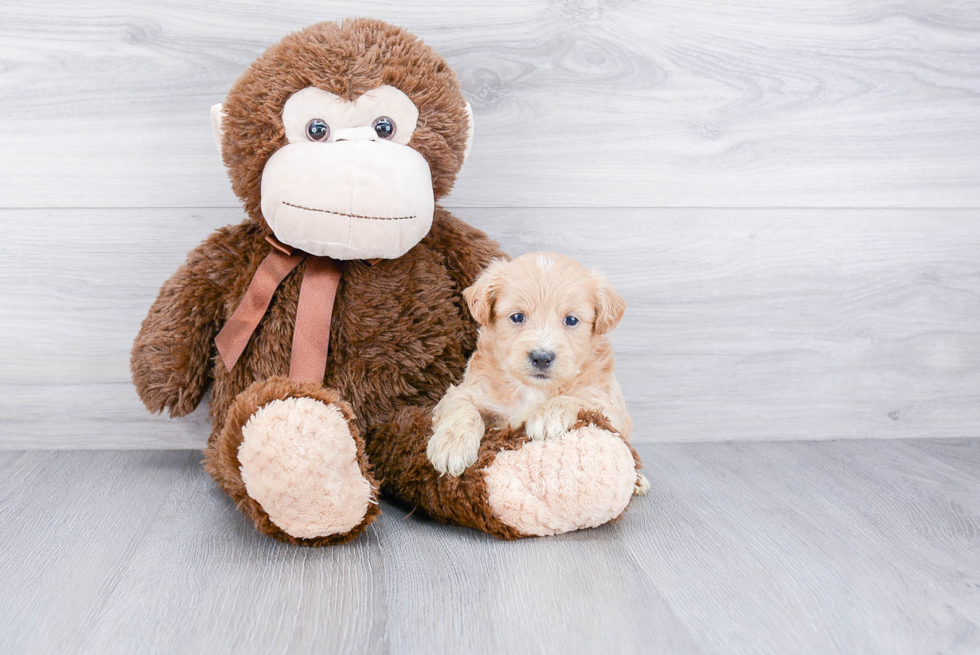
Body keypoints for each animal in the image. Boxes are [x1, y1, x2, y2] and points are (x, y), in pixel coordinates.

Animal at [424, 254, 648, 494]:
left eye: (571, 320)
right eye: (517, 317)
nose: (541, 357)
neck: (533, 389)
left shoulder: (608, 405)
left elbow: (578, 399)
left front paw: (548, 415)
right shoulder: (467, 390)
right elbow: (462, 408)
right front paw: (452, 446)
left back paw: (639, 481)